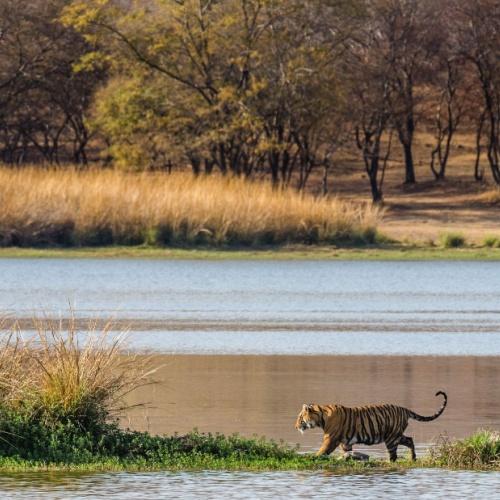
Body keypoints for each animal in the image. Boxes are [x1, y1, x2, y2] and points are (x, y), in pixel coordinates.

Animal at [294, 390, 448, 460]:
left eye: (300, 417)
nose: (295, 427)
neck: (321, 416)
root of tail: (404, 409)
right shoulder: (345, 442)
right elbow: (346, 452)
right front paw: (346, 458)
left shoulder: (330, 439)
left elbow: (322, 451)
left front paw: (312, 457)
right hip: (396, 435)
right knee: (410, 440)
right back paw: (413, 458)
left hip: (391, 438)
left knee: (394, 455)